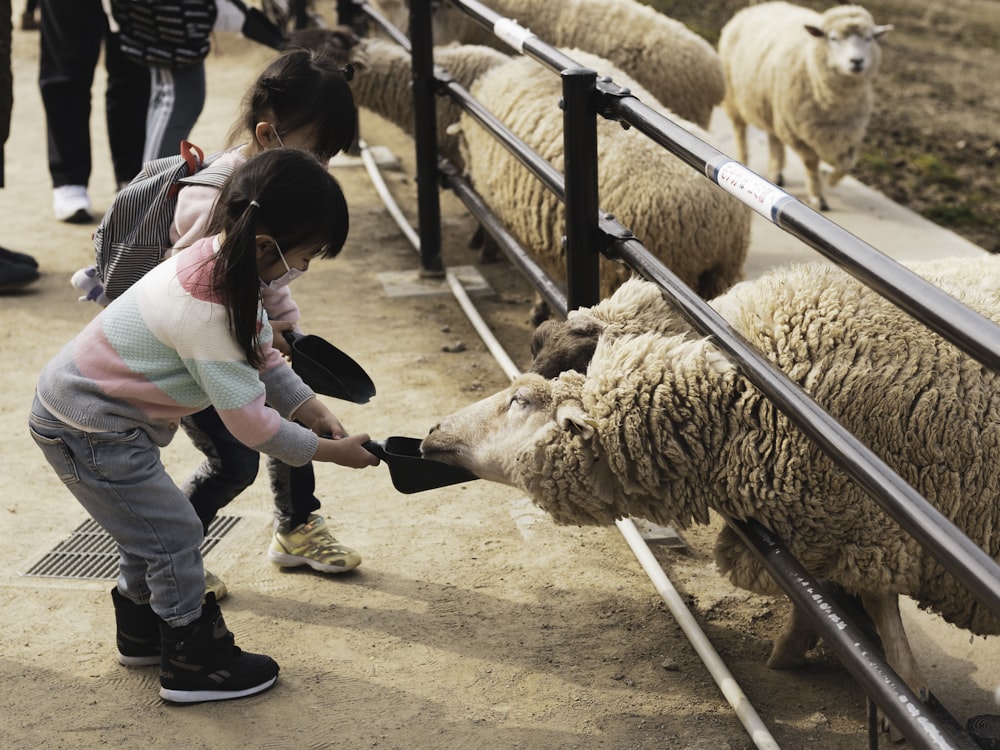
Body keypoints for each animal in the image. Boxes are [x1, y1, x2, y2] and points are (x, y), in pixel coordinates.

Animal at [422, 260, 1000, 704]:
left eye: (520, 400)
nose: (431, 432)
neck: (746, 400)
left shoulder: (870, 527)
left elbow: (877, 605)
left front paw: (905, 687)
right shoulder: (841, 530)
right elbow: (831, 600)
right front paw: (801, 649)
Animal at [720, 2, 892, 212]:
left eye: (869, 38)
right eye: (833, 38)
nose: (857, 61)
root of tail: (758, 5)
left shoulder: (851, 132)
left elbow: (846, 164)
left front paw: (830, 180)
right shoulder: (795, 132)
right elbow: (811, 164)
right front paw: (817, 196)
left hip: (772, 105)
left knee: (773, 138)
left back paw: (776, 171)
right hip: (734, 95)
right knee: (740, 129)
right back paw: (744, 159)